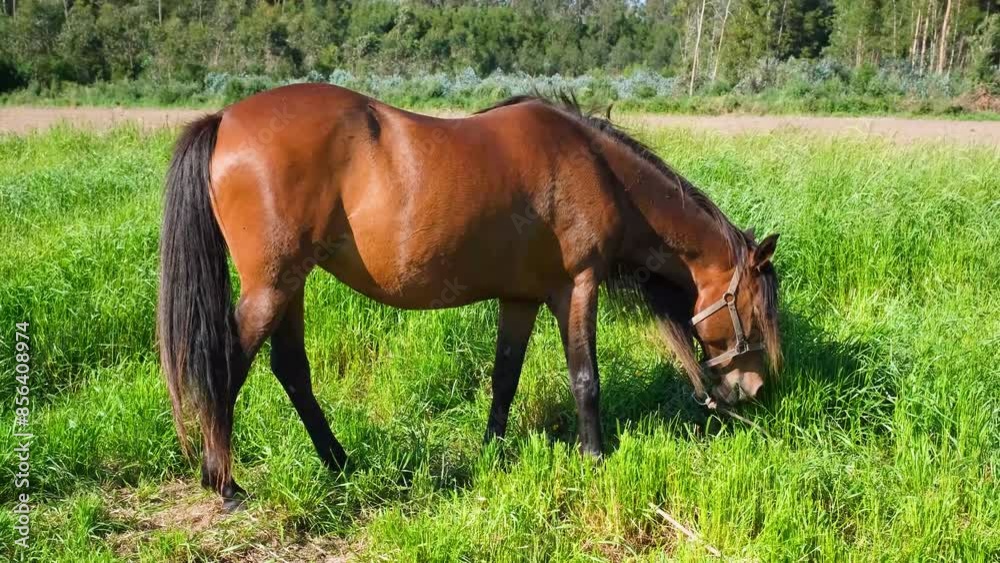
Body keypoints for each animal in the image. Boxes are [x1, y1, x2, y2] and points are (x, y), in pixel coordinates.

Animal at [158, 84, 782, 510]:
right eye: (754, 311)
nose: (752, 391)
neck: (597, 168)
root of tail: (225, 119)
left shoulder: (521, 299)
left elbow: (504, 376)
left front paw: (492, 451)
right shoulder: (576, 287)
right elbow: (586, 379)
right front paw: (595, 457)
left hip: (291, 286)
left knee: (291, 369)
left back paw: (338, 463)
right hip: (272, 287)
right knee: (226, 365)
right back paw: (226, 483)